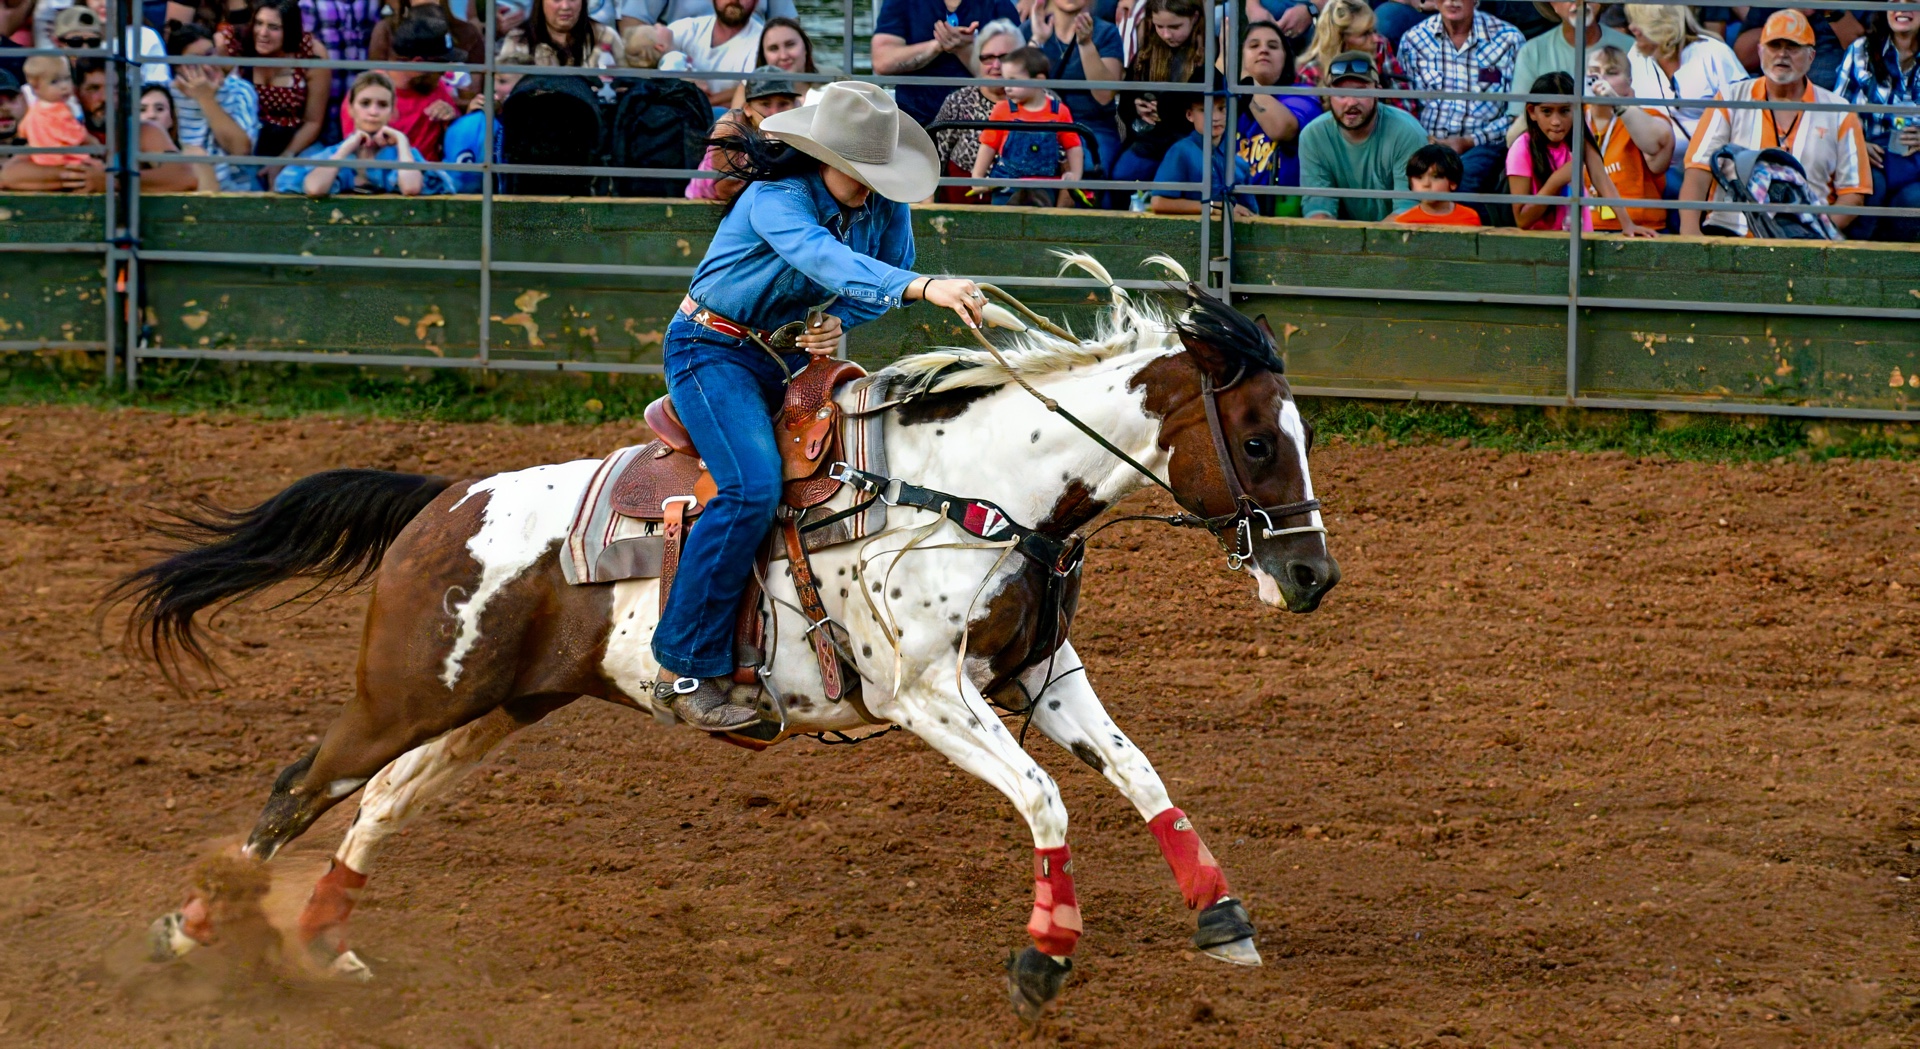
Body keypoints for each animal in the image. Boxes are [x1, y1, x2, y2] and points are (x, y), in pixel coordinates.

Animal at [115, 255, 1339, 1020]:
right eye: (1254, 438)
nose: (1312, 575)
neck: (976, 488)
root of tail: (444, 501)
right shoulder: (926, 694)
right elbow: (1047, 798)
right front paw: (1042, 959)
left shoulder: (1039, 669)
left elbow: (1143, 776)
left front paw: (1223, 917)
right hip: (407, 691)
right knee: (299, 786)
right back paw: (183, 933)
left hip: (495, 704)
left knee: (376, 801)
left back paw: (323, 943)